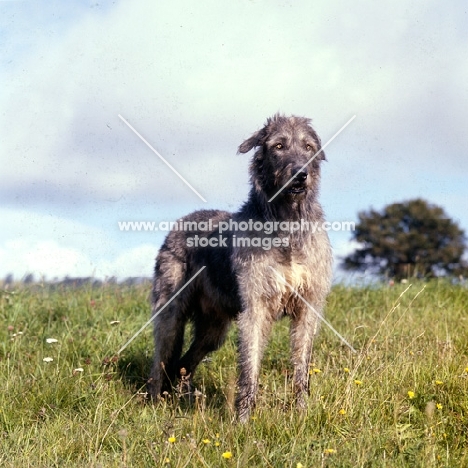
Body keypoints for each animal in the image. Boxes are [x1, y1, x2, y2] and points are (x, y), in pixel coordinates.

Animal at [147, 115, 332, 422]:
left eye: (308, 147)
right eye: (279, 146)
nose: (300, 174)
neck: (287, 225)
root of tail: (179, 223)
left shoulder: (308, 307)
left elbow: (301, 368)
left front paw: (301, 413)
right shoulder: (255, 308)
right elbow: (250, 365)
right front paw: (243, 420)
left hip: (213, 328)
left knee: (184, 363)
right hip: (170, 311)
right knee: (161, 359)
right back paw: (152, 404)